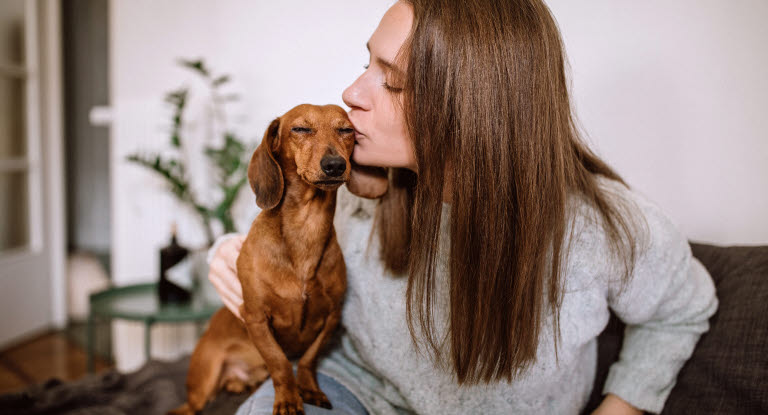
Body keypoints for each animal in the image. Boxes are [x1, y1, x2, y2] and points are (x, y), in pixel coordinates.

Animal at [166, 105, 388, 415]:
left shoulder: (331, 317)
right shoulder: (256, 318)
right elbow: (280, 363)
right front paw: (288, 399)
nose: (334, 165)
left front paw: (308, 388)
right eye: (300, 129)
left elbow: (307, 360)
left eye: (347, 130)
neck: (306, 229)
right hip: (203, 383)